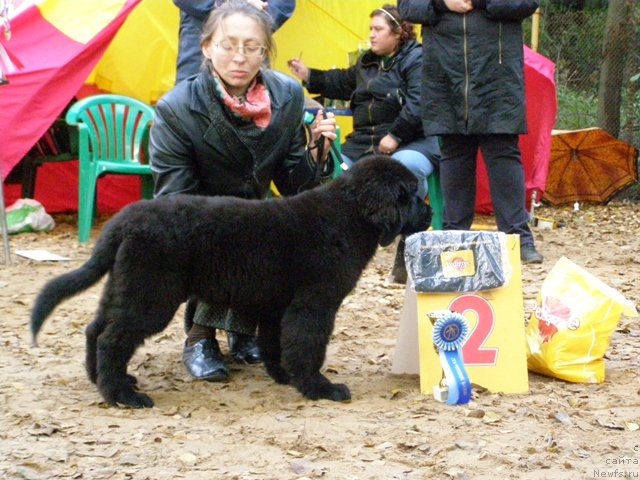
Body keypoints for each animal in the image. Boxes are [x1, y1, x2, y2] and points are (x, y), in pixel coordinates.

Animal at [30, 157, 430, 408]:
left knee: (95, 329)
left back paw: (103, 380)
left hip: (125, 285)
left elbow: (276, 344)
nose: (428, 214)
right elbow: (307, 346)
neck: (349, 216)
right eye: (411, 194)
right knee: (112, 338)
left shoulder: (278, 305)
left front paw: (284, 377)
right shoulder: (314, 303)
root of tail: (123, 221)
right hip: (150, 294)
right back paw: (122, 397)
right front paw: (319, 388)